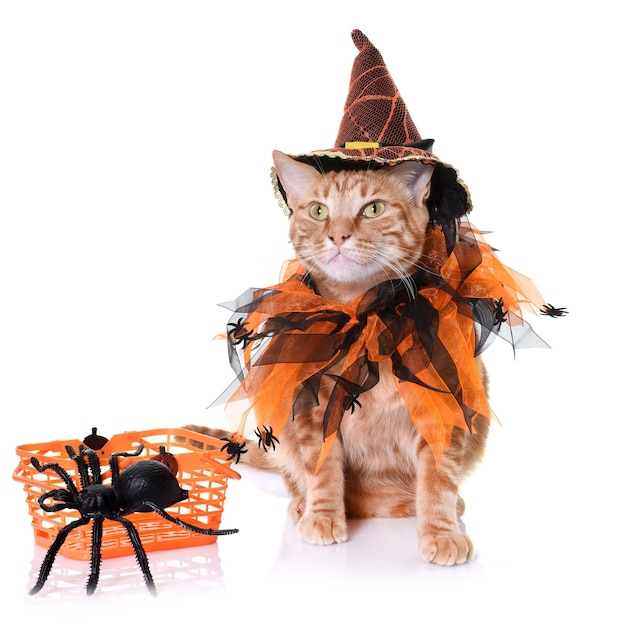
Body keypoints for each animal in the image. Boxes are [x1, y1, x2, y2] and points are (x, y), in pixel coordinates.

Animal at [183, 149, 490, 564]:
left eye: (373, 209)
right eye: (318, 211)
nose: (339, 235)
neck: (368, 319)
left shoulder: (444, 408)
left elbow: (439, 478)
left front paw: (441, 531)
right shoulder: (312, 408)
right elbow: (321, 467)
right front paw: (323, 515)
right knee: (294, 475)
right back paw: (304, 505)